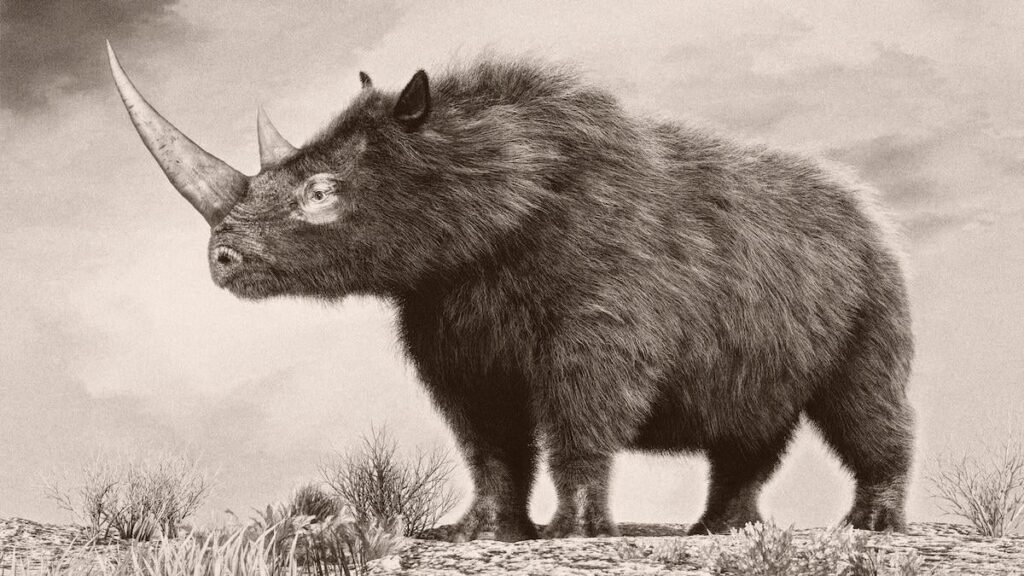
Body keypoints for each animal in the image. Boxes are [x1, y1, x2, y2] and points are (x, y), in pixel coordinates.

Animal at [108, 43, 914, 541]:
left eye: (321, 193)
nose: (222, 260)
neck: (478, 172)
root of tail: (866, 212)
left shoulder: (599, 330)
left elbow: (578, 426)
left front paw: (573, 536)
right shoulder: (447, 321)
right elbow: (487, 441)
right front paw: (476, 533)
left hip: (877, 274)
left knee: (862, 396)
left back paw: (867, 527)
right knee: (749, 422)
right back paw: (720, 530)